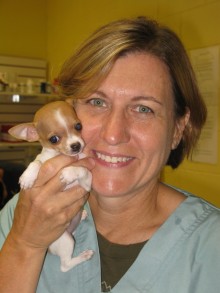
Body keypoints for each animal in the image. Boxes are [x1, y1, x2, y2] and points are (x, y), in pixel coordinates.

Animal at [8, 100, 93, 272]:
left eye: (78, 126)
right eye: (54, 139)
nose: (76, 145)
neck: (59, 155)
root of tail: (48, 248)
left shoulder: (87, 184)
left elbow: (81, 169)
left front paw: (68, 172)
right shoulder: (43, 160)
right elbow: (37, 162)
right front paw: (27, 176)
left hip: (67, 239)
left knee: (65, 266)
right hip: (66, 239)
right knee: (65, 266)